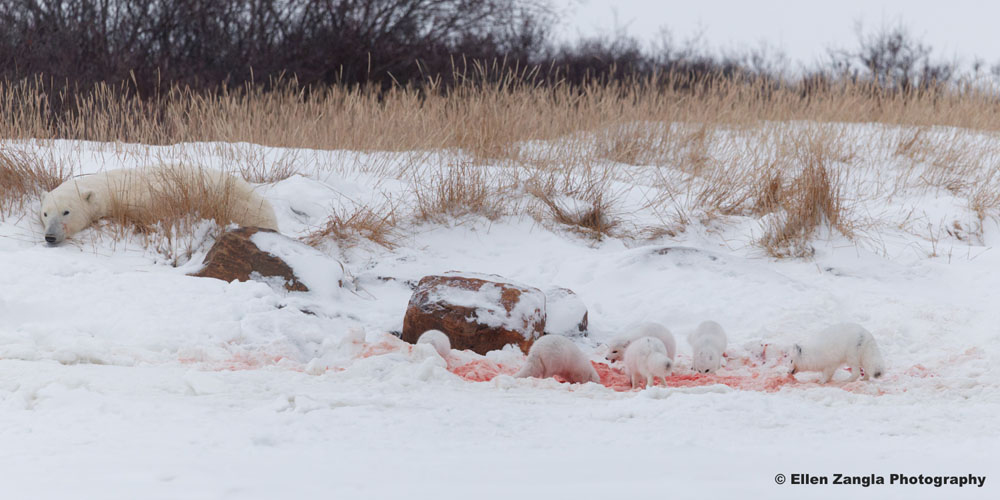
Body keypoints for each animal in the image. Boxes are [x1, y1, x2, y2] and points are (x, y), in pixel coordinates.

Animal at [40, 165, 278, 245]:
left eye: (66, 212)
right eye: (45, 214)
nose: (50, 236)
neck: (114, 188)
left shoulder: (147, 201)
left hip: (241, 207)